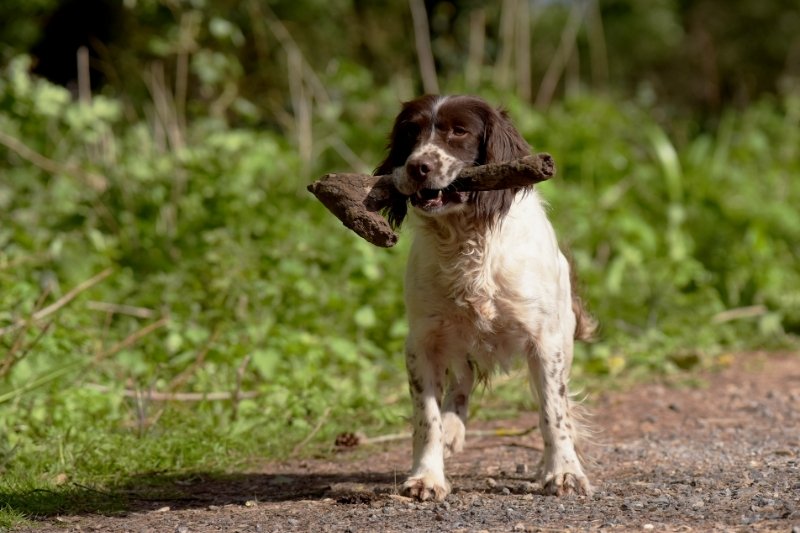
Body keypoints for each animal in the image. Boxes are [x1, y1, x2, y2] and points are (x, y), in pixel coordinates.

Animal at [376, 94, 592, 498]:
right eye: (410, 131)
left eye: (459, 131)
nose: (417, 167)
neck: (468, 240)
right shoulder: (422, 342)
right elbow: (426, 417)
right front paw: (426, 476)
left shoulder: (546, 341)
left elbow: (553, 412)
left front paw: (563, 472)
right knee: (459, 386)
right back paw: (452, 427)